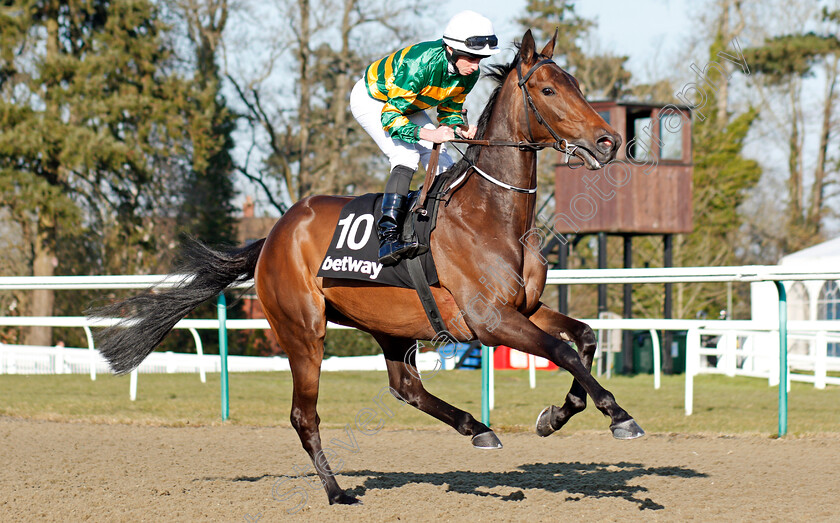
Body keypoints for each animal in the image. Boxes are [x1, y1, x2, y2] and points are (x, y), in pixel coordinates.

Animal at [92, 29, 644, 508]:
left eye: (578, 85)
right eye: (549, 89)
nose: (608, 141)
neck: (489, 213)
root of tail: (274, 234)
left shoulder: (523, 307)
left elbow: (585, 337)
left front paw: (557, 415)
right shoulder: (490, 321)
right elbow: (562, 350)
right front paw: (619, 416)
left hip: (389, 325)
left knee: (406, 388)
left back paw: (478, 429)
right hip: (303, 331)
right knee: (304, 415)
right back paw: (337, 491)